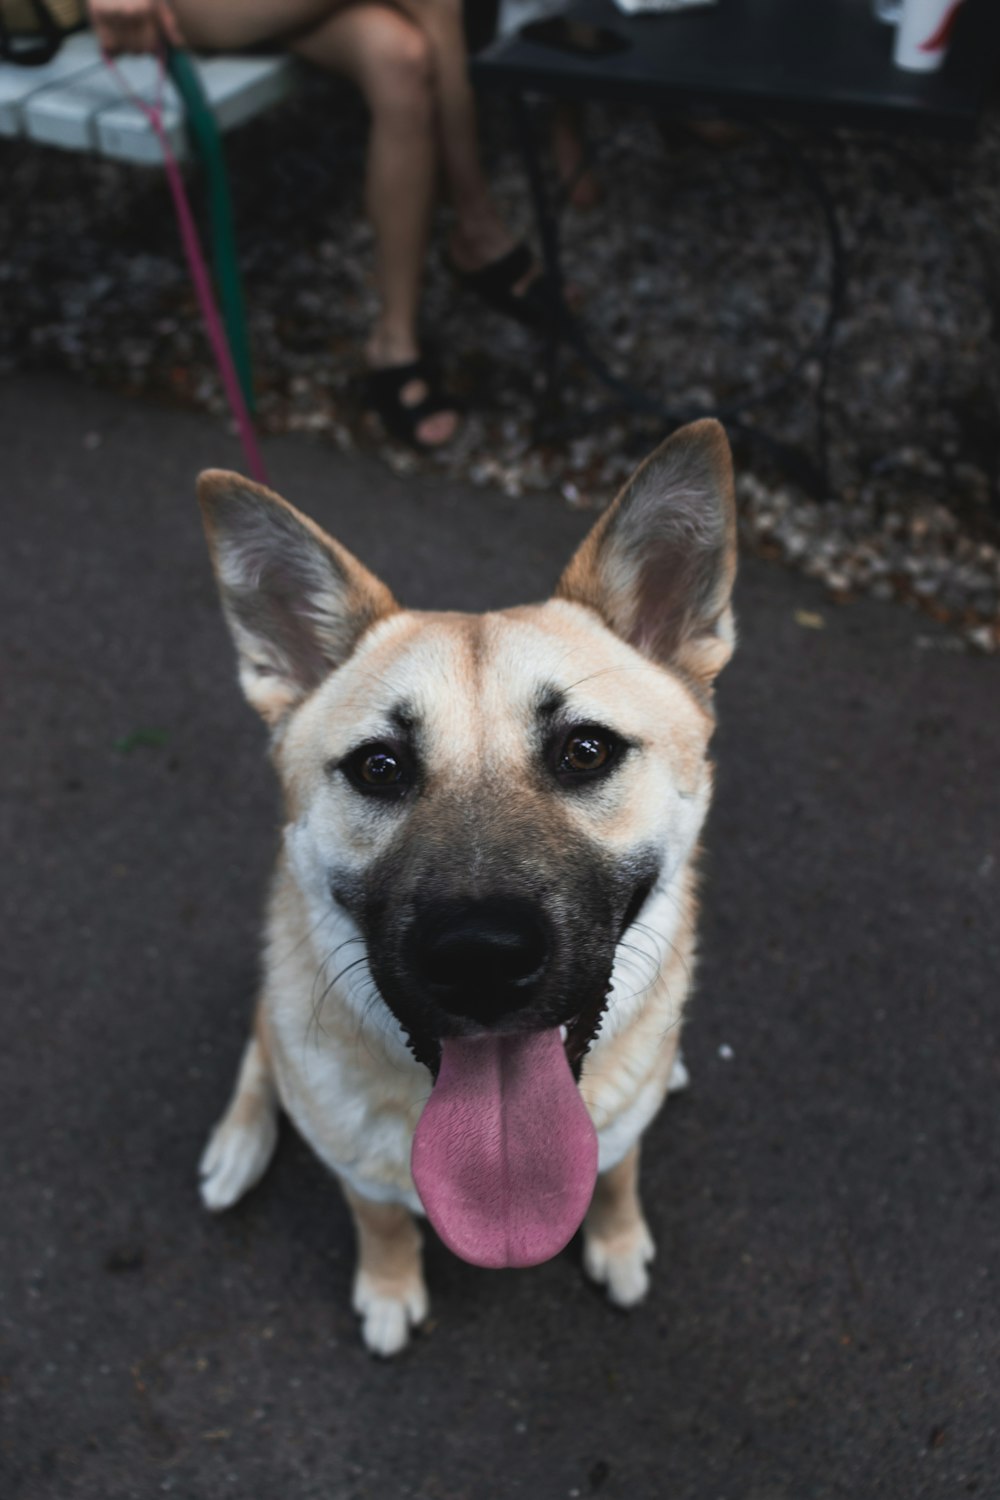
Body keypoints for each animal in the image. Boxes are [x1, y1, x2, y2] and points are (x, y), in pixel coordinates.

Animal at [199, 417, 740, 1356]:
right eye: (379, 767)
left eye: (585, 751)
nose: (480, 959)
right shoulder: (361, 1177)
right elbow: (379, 1219)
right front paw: (388, 1288)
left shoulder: (618, 1139)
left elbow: (618, 1172)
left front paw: (617, 1240)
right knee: (261, 1049)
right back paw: (239, 1142)